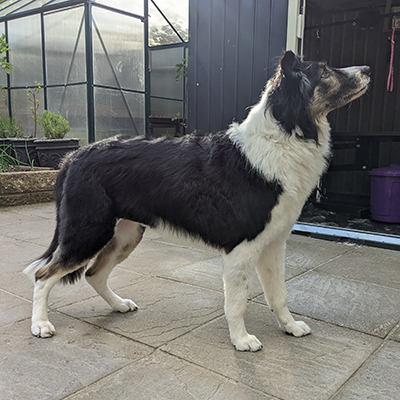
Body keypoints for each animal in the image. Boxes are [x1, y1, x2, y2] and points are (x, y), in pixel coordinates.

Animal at [24, 51, 368, 352]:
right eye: (324, 72)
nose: (366, 69)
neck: (285, 134)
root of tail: (74, 156)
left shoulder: (273, 244)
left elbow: (279, 294)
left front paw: (290, 327)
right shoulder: (242, 249)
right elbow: (237, 302)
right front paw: (241, 340)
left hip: (124, 234)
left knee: (94, 274)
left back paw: (118, 305)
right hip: (88, 232)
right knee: (44, 275)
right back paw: (40, 324)